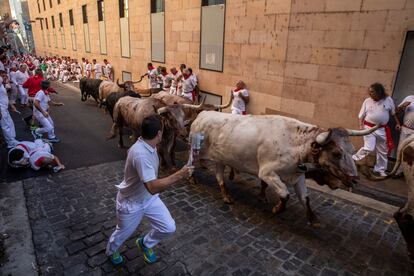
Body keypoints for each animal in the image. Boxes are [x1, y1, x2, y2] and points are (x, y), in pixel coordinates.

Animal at [191, 111, 378, 225]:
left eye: (352, 150)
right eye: (336, 153)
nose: (354, 179)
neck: (295, 144)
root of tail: (203, 113)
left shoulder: (298, 176)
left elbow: (305, 198)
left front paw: (312, 218)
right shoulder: (267, 173)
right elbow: (284, 193)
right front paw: (277, 208)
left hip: (220, 159)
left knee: (219, 176)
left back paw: (226, 194)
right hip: (195, 150)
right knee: (192, 163)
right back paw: (192, 178)